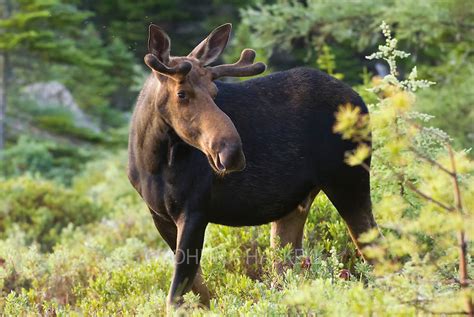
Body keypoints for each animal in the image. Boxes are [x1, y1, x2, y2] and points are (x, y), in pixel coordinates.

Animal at [128, 22, 380, 308]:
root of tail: (361, 101)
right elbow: (199, 292)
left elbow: (177, 293)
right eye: (181, 94)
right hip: (296, 205)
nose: (232, 152)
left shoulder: (195, 210)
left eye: (215, 92)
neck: (151, 162)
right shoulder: (159, 216)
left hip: (347, 180)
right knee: (290, 271)